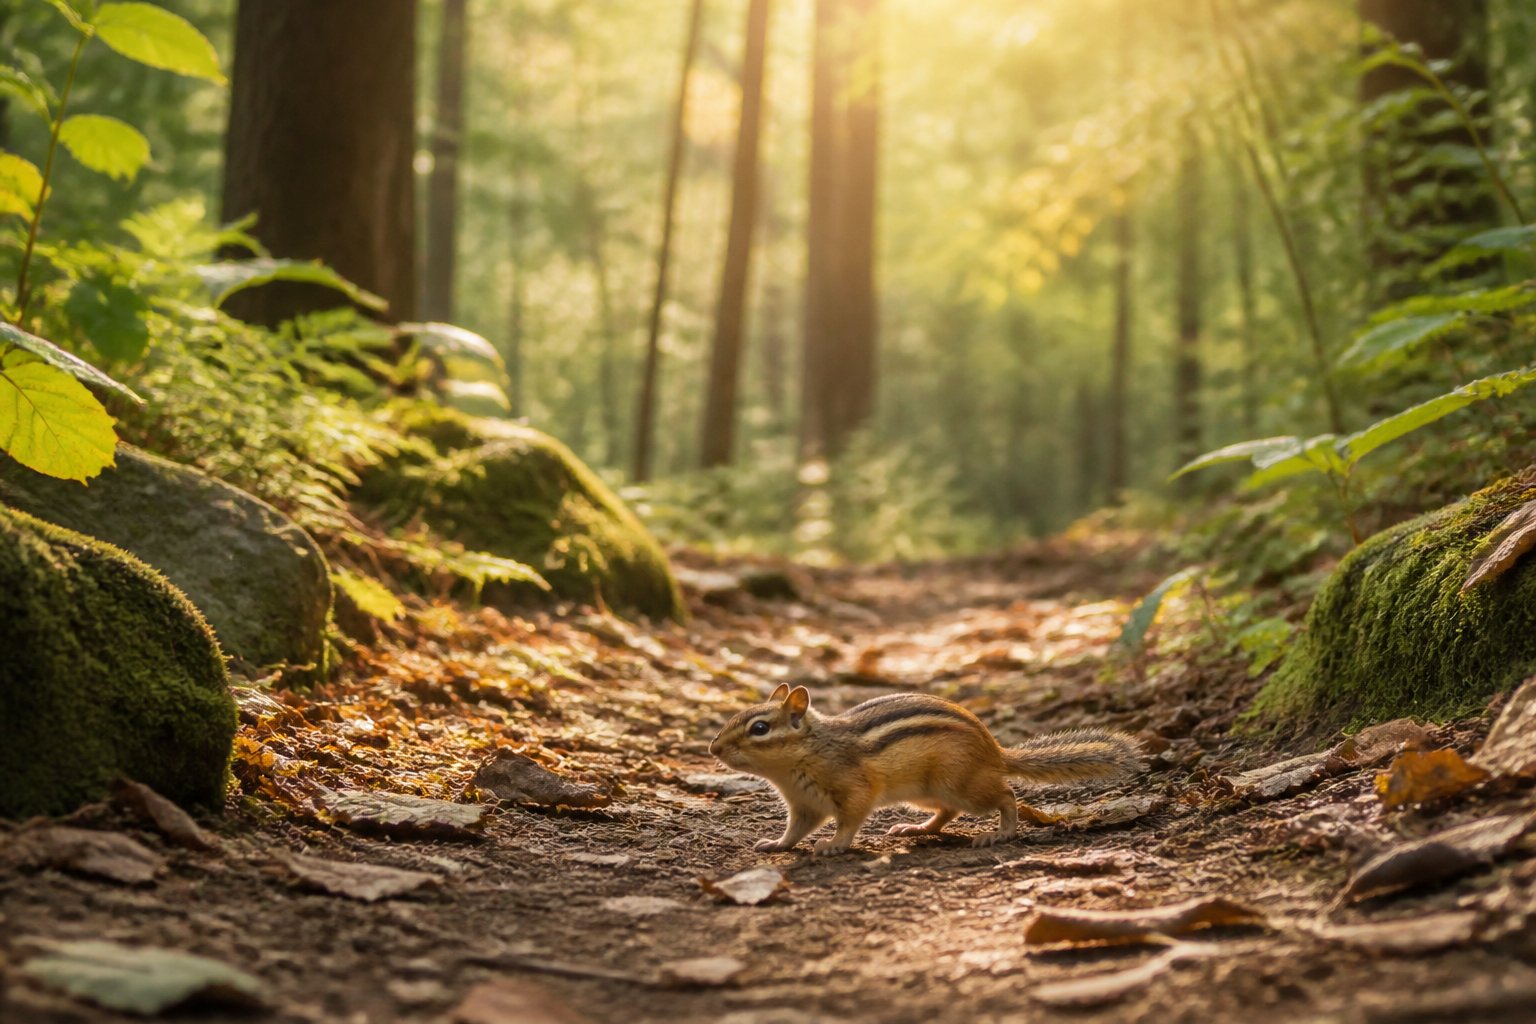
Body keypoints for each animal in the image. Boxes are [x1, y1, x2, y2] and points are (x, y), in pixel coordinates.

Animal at [709, 684, 1141, 855]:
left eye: (760, 728)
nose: (713, 748)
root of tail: (995, 751)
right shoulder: (804, 806)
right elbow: (794, 831)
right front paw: (776, 844)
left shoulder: (854, 789)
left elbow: (850, 819)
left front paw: (833, 845)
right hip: (924, 793)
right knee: (946, 813)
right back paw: (916, 829)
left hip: (960, 783)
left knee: (1006, 795)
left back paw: (1000, 833)